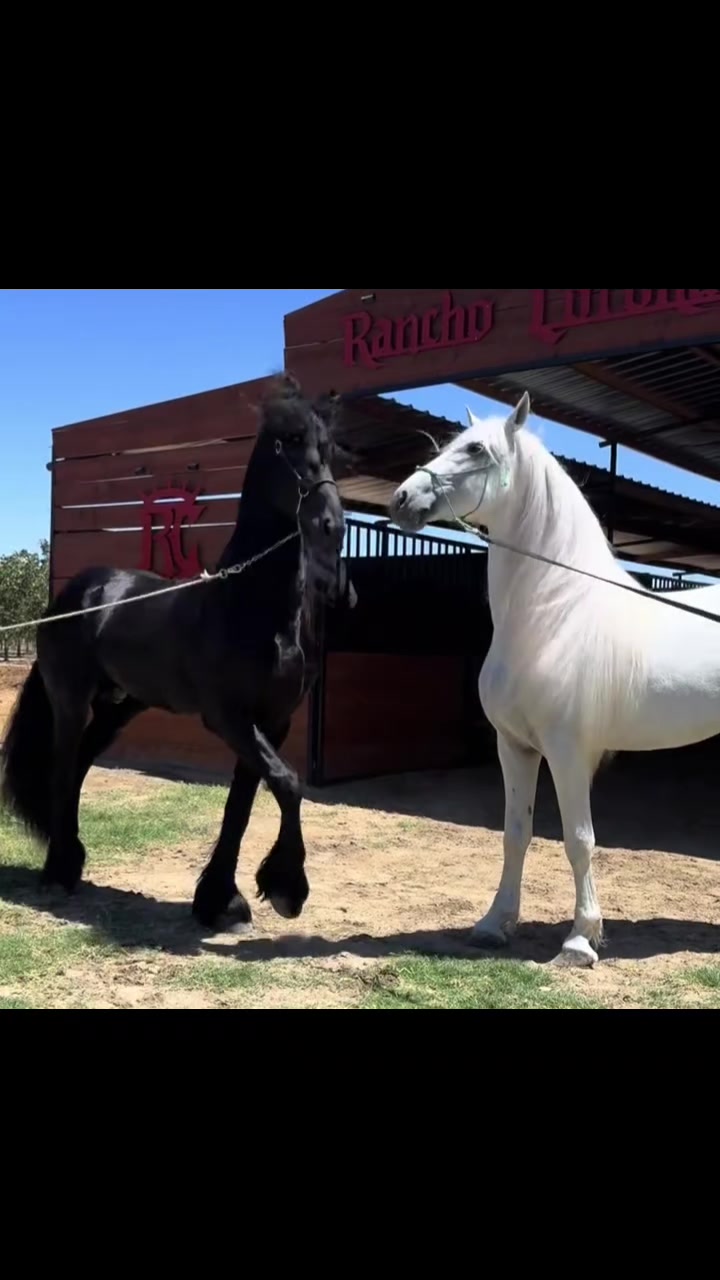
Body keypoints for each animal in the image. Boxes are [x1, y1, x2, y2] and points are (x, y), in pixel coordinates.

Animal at [1, 372, 352, 932]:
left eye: (331, 448)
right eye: (287, 442)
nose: (331, 525)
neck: (250, 605)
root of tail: (78, 592)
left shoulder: (271, 722)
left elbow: (244, 803)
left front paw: (220, 901)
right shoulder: (228, 717)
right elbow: (288, 783)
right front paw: (286, 888)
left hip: (120, 706)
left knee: (79, 766)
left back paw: (72, 857)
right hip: (71, 700)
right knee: (62, 766)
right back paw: (58, 871)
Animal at [388, 390, 720, 967]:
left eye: (475, 449)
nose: (402, 498)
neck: (552, 614)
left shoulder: (568, 751)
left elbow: (578, 839)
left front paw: (580, 940)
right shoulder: (515, 747)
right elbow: (515, 834)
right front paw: (494, 924)